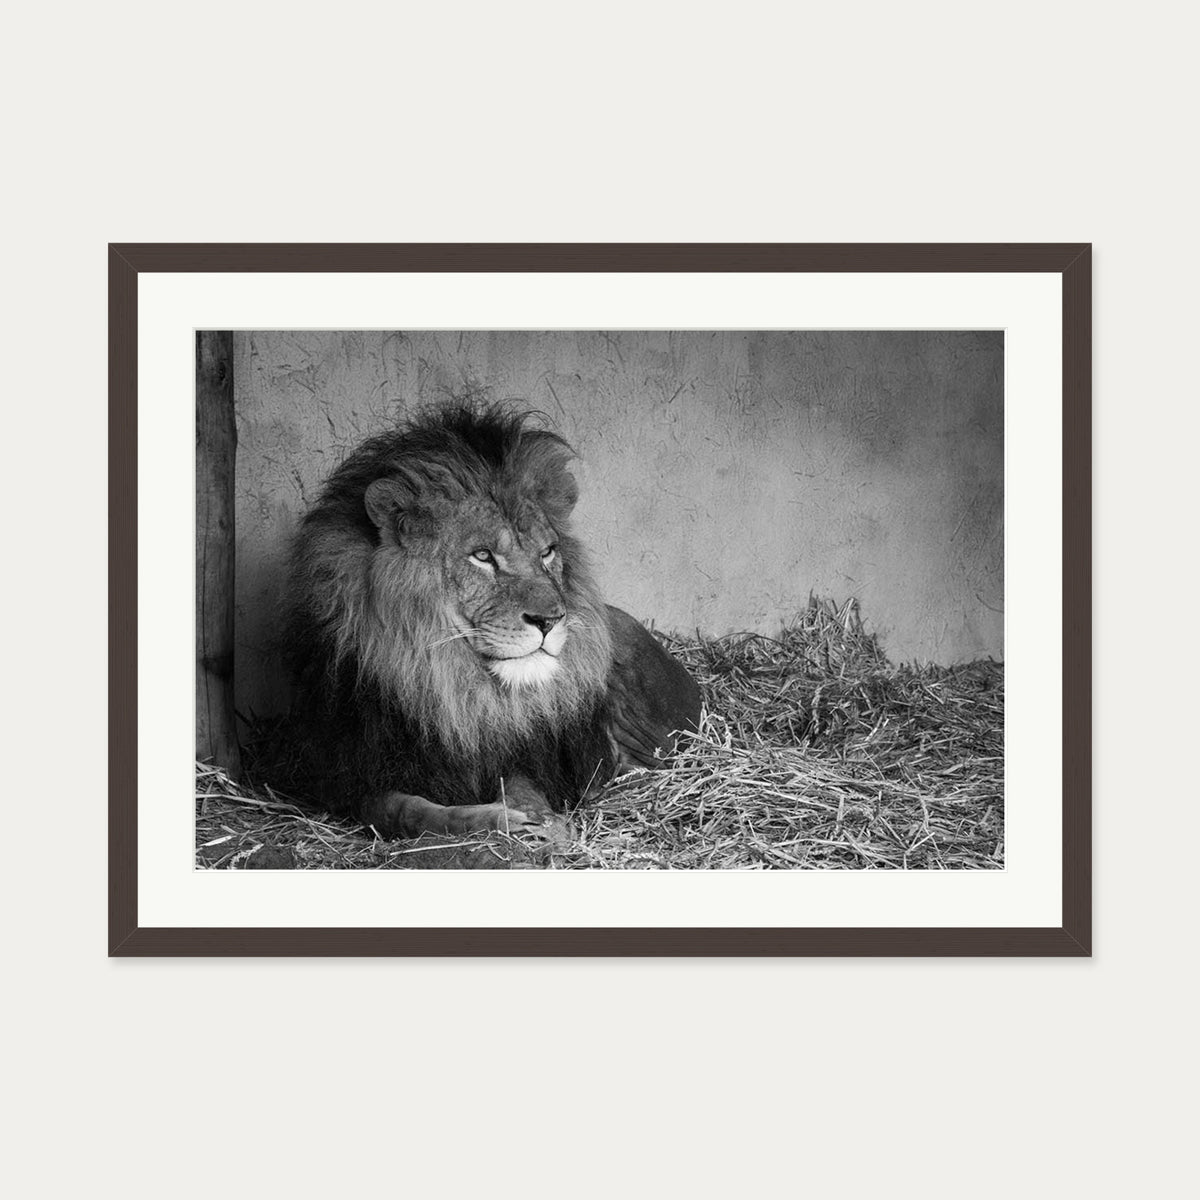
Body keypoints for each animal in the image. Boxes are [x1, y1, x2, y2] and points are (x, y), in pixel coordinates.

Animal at [283, 401, 702, 840]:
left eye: (547, 552)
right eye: (482, 556)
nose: (550, 619)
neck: (453, 689)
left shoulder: (524, 755)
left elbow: (522, 784)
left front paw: (542, 821)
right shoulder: (351, 777)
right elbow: (407, 811)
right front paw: (495, 819)